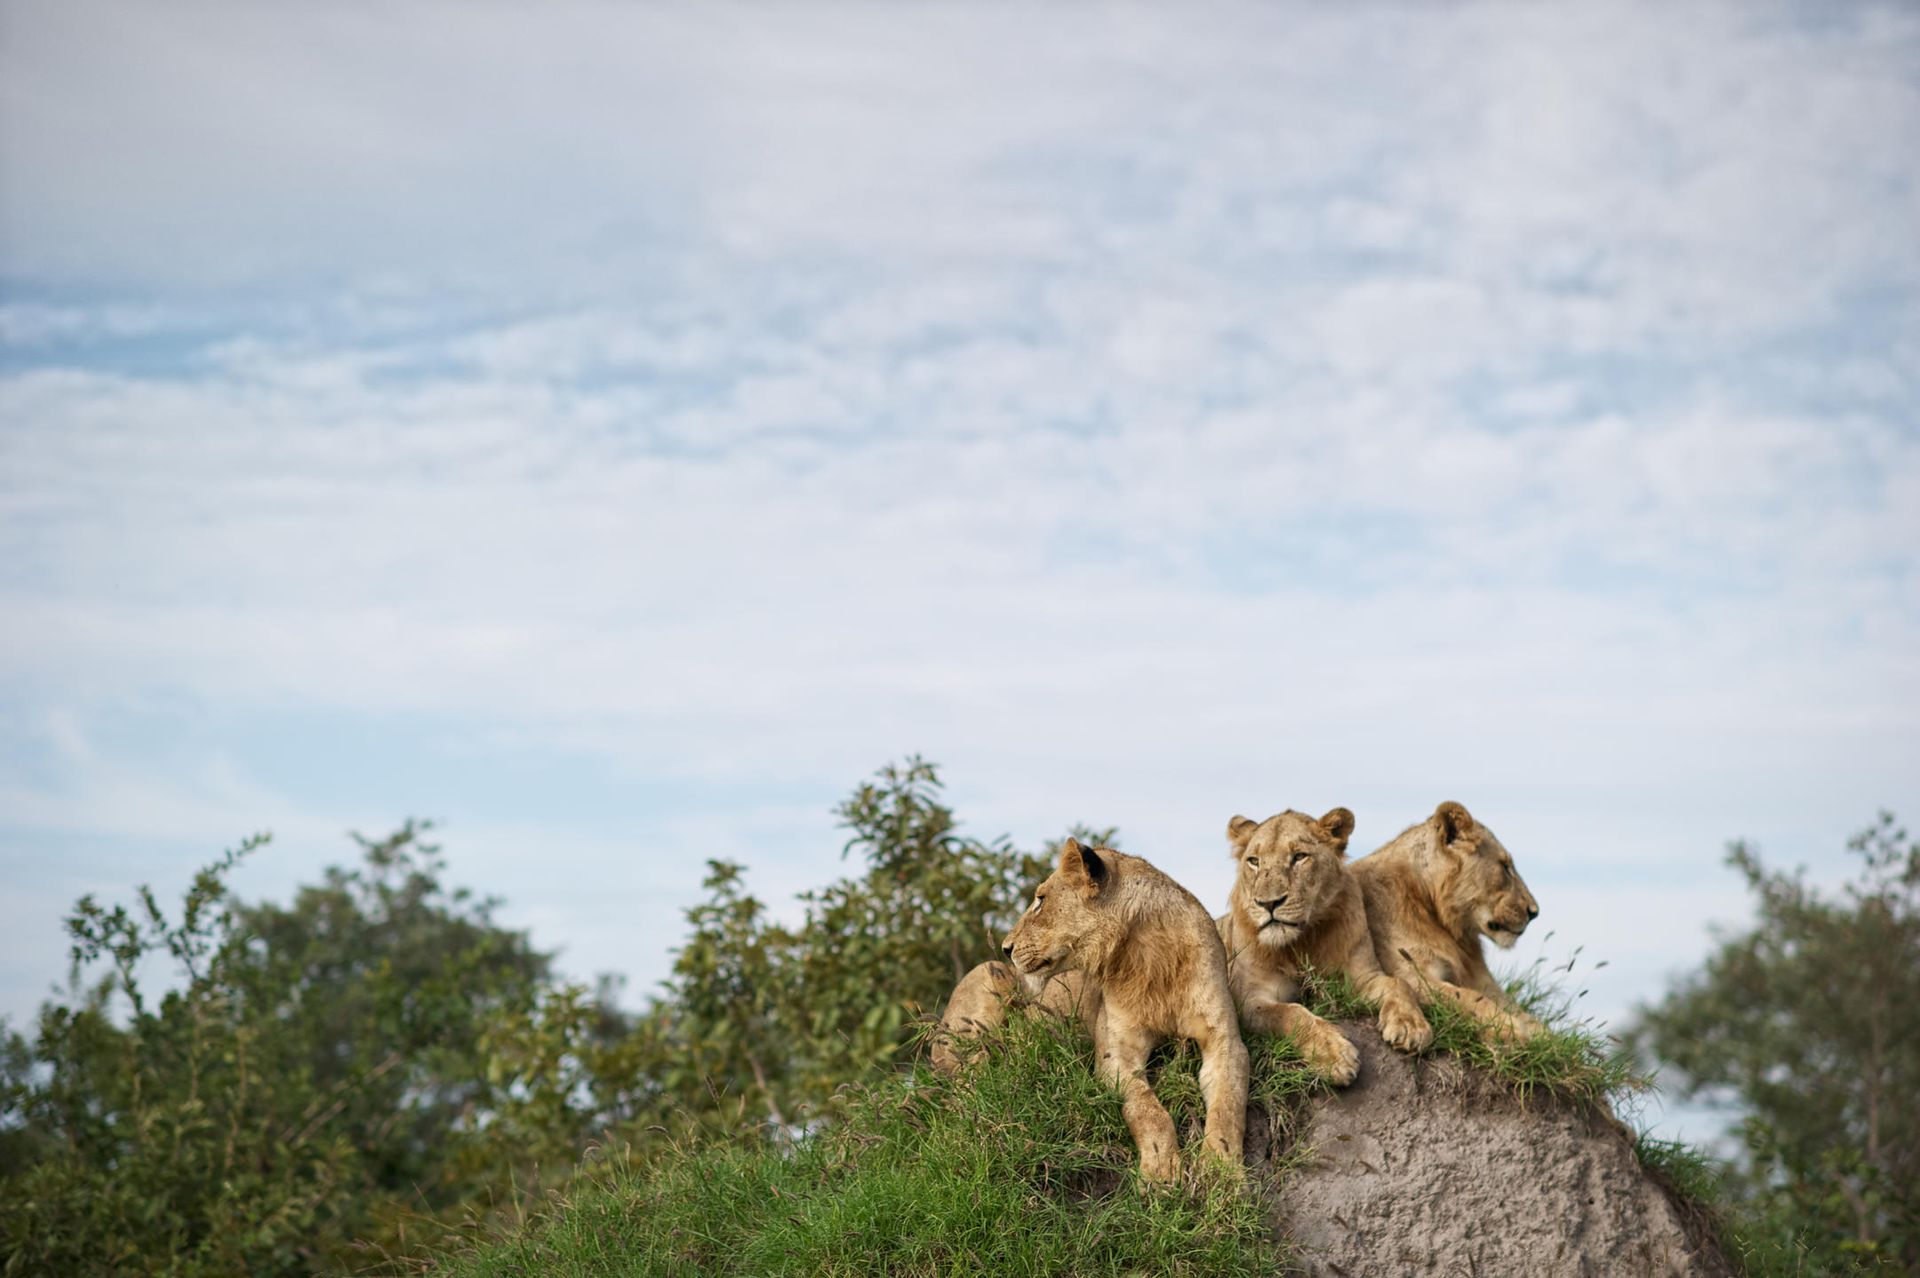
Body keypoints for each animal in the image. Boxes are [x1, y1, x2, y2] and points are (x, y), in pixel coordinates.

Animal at [936, 832, 1251, 1182]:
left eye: (1040, 900)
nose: (1006, 947)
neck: (1149, 959)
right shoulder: (1116, 1053)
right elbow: (1146, 1109)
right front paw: (1160, 1170)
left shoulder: (1225, 1042)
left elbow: (1228, 1106)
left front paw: (1223, 1170)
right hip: (988, 974)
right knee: (964, 1081)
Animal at [1213, 802, 1428, 1082]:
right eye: (1254, 862)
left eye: (1299, 856)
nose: (1268, 903)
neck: (1301, 943)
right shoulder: (1249, 999)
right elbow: (1290, 1013)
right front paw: (1333, 1055)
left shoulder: (1362, 977)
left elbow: (1398, 984)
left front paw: (1411, 1027)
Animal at [1351, 802, 1543, 1043]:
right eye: (1505, 866)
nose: (1534, 912)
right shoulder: (1409, 974)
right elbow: (1468, 997)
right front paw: (1513, 1030)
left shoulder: (1484, 981)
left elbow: (1530, 1017)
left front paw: (1542, 1036)